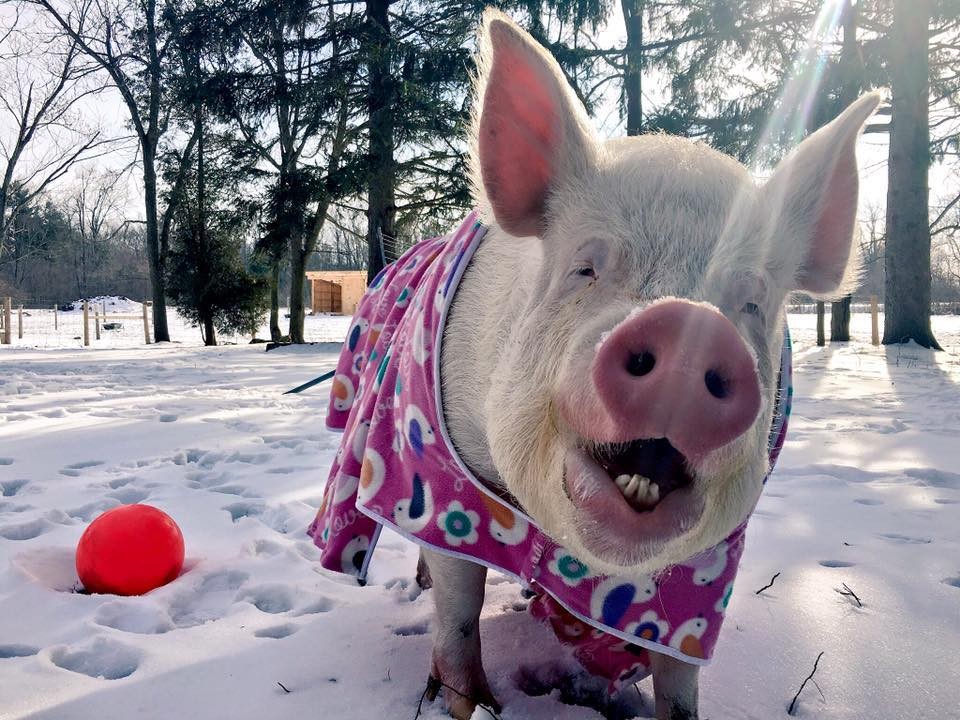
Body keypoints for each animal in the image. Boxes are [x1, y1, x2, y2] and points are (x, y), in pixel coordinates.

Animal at [311, 9, 880, 720]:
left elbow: (678, 676)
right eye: (585, 267)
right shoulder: (437, 482)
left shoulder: (705, 569)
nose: (691, 326)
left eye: (753, 301)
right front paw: (469, 704)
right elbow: (459, 607)